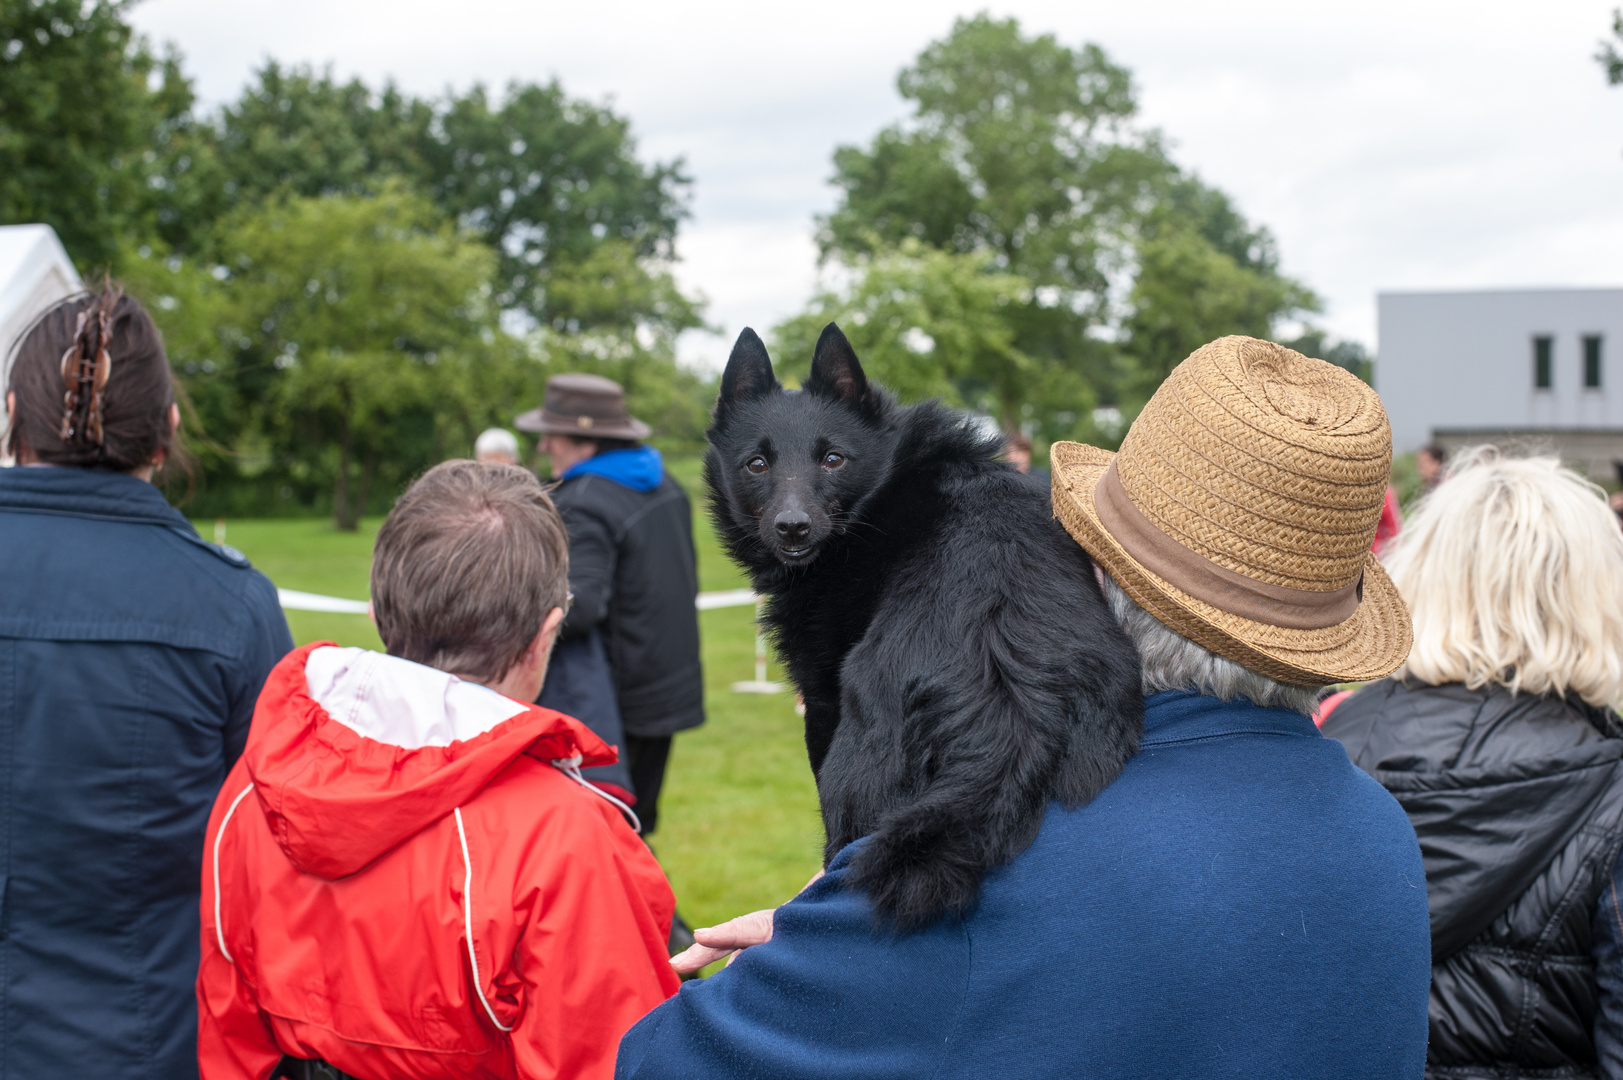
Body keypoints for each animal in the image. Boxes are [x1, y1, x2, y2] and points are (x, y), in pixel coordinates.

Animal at [707, 319, 1142, 928]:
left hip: (854, 768)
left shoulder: (820, 701)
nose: (793, 528)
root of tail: (1008, 714)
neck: (880, 493)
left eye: (833, 459)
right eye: (757, 464)